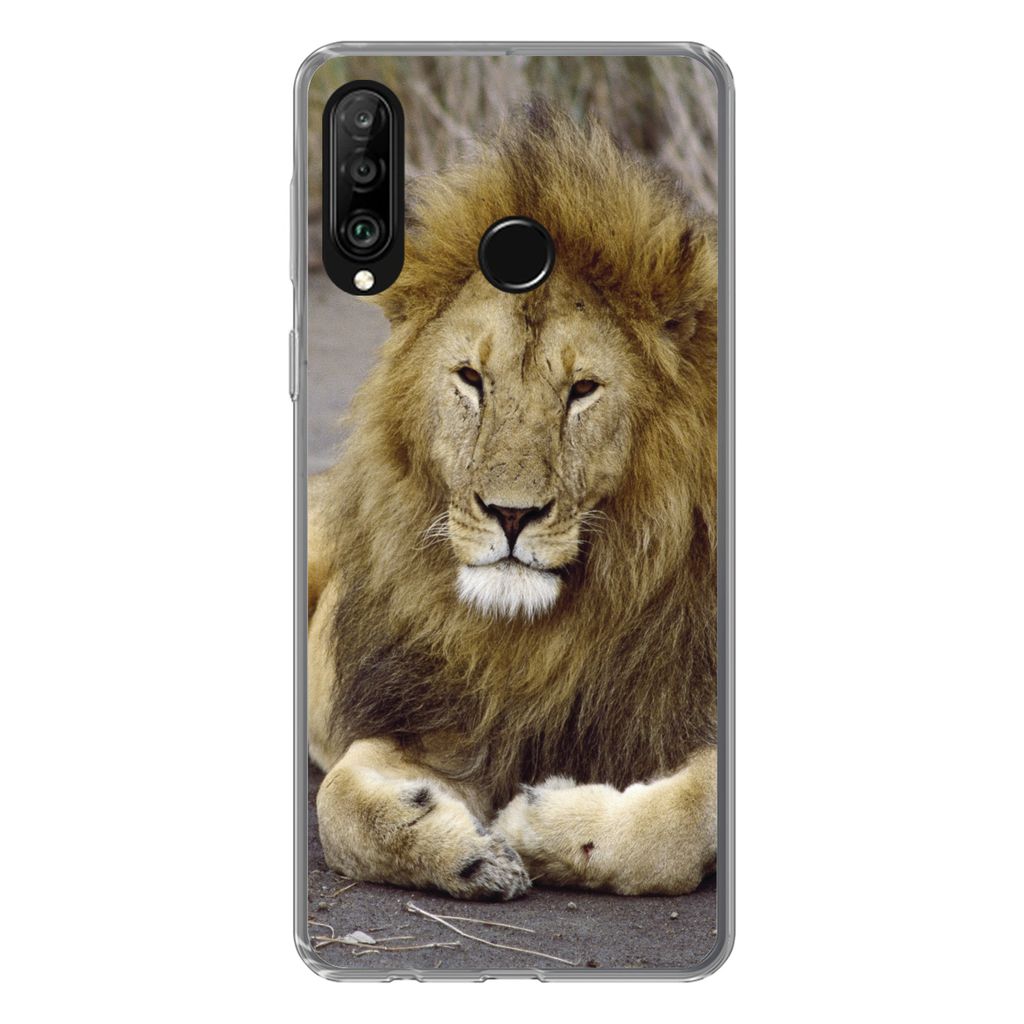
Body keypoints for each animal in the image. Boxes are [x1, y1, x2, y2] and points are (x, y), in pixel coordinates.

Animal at [307, 103, 718, 900]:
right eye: (471, 378)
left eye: (582, 390)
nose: (511, 514)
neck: (536, 640)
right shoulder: (441, 713)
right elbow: (336, 800)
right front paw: (462, 850)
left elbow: (691, 818)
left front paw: (543, 824)